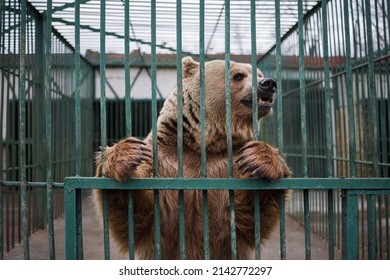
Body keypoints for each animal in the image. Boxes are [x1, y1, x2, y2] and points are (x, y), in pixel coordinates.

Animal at [93, 57, 290, 260]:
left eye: (259, 73)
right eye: (238, 75)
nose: (268, 83)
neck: (201, 144)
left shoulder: (227, 166)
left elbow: (249, 217)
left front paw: (259, 159)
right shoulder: (163, 163)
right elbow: (135, 217)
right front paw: (127, 154)